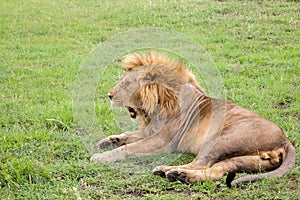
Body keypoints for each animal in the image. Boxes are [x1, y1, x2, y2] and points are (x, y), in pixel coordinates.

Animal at [91, 52, 296, 187]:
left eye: (125, 83)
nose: (109, 95)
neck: (157, 106)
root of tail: (285, 140)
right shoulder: (149, 131)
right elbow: (127, 135)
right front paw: (107, 141)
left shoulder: (163, 141)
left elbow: (128, 148)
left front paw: (100, 157)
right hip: (248, 160)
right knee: (216, 170)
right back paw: (179, 175)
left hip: (220, 139)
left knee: (200, 163)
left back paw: (170, 171)